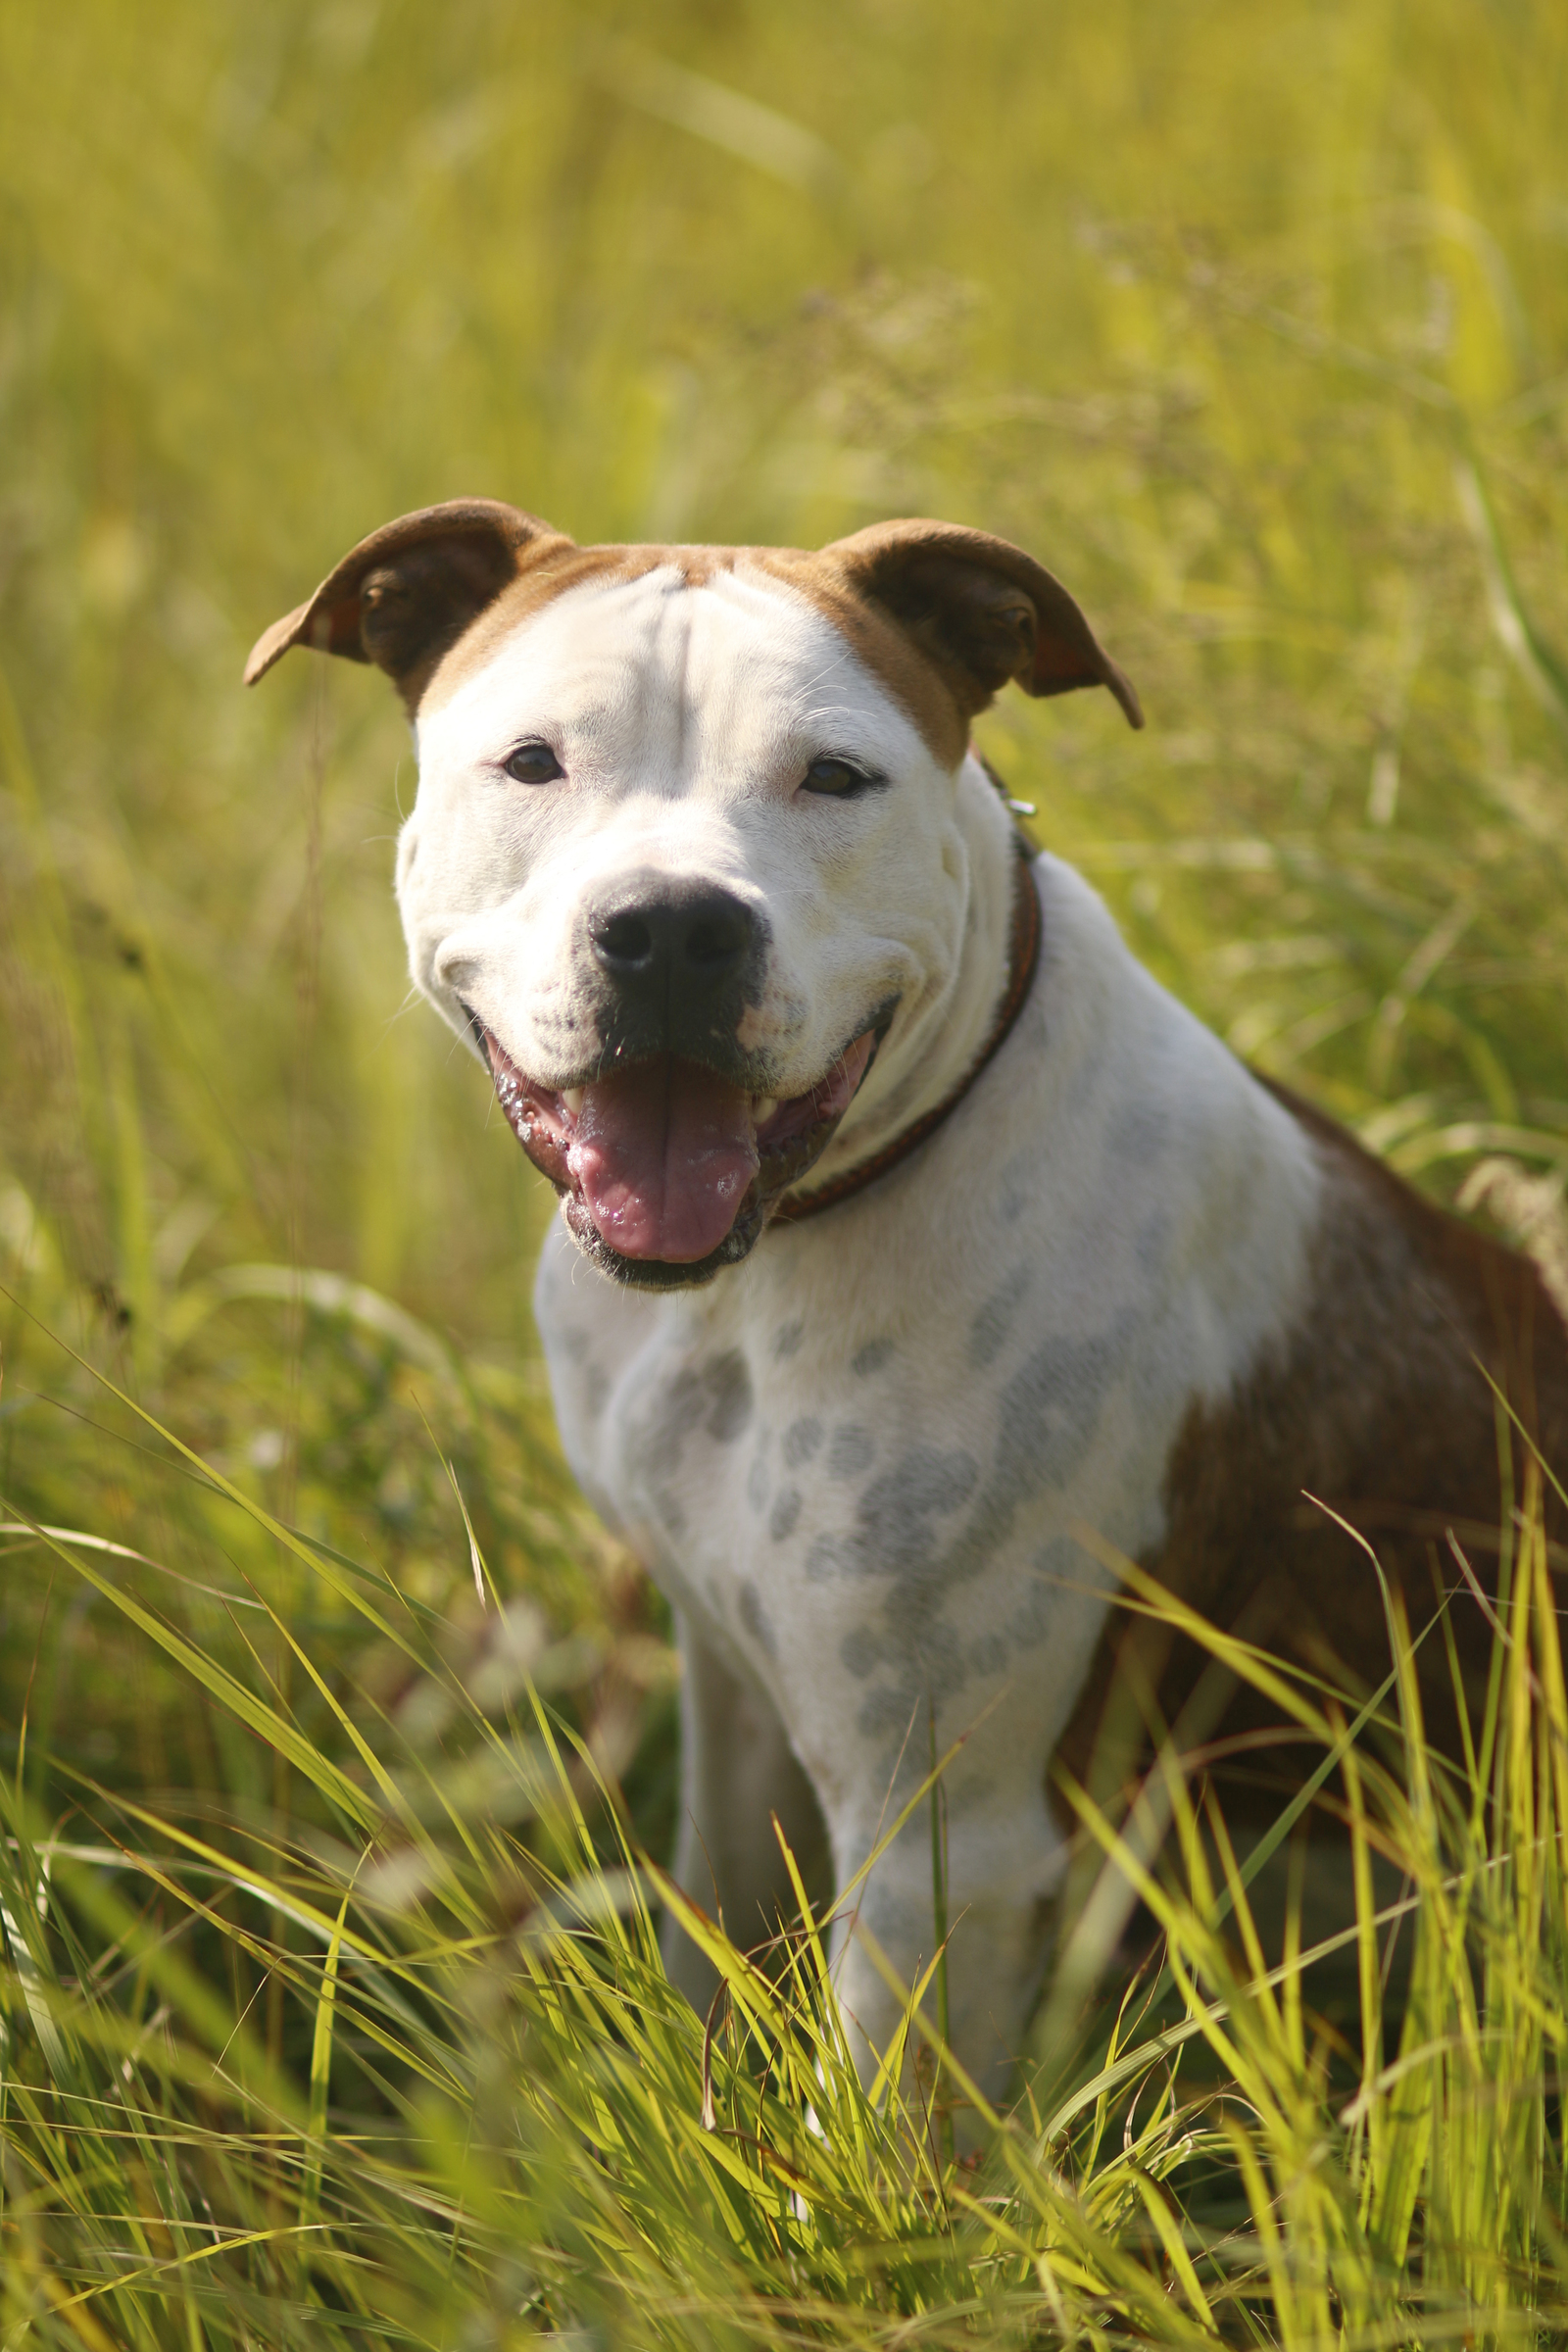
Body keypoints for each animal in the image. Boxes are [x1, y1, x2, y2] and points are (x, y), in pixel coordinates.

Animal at [245, 501, 1568, 2117]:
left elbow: (883, 2144)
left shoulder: (943, 1846)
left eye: (834, 775)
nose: (672, 929)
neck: (749, 1288)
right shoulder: (734, 1686)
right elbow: (712, 1940)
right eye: (535, 761)